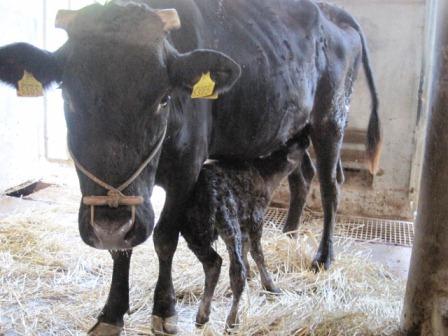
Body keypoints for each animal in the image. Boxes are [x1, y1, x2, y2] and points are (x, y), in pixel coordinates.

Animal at [0, 1, 382, 334]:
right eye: (68, 98)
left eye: (163, 99)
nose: (109, 224)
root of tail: (331, 10)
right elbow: (121, 249)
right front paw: (112, 312)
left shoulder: (187, 171)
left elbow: (165, 238)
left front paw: (164, 310)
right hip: (291, 127)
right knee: (301, 177)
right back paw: (289, 233)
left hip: (331, 118)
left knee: (330, 185)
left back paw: (323, 257)